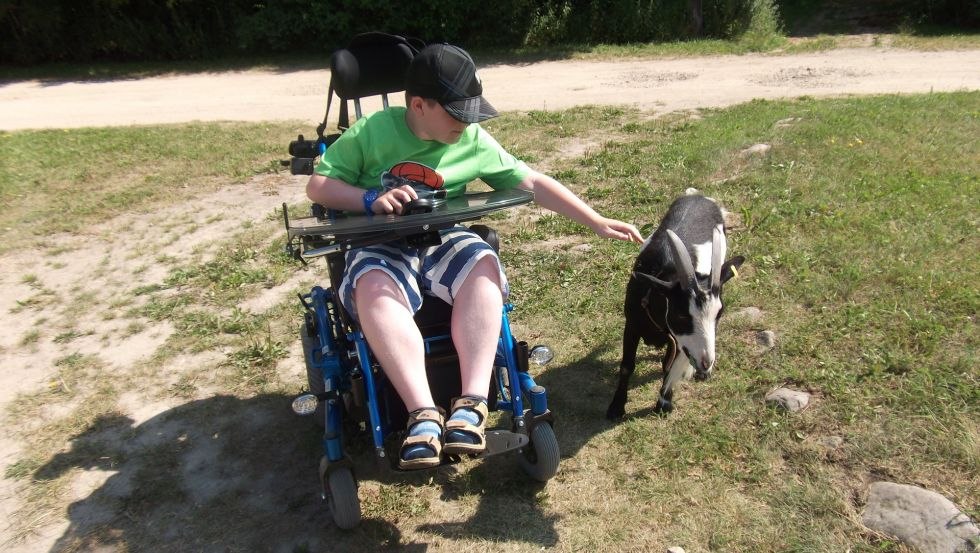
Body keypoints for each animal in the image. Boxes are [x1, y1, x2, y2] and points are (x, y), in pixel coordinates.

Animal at [604, 194, 744, 418]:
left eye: (719, 314)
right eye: (681, 316)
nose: (706, 362)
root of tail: (700, 196)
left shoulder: (679, 341)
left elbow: (670, 367)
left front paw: (664, 402)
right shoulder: (632, 324)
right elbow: (627, 366)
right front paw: (616, 407)